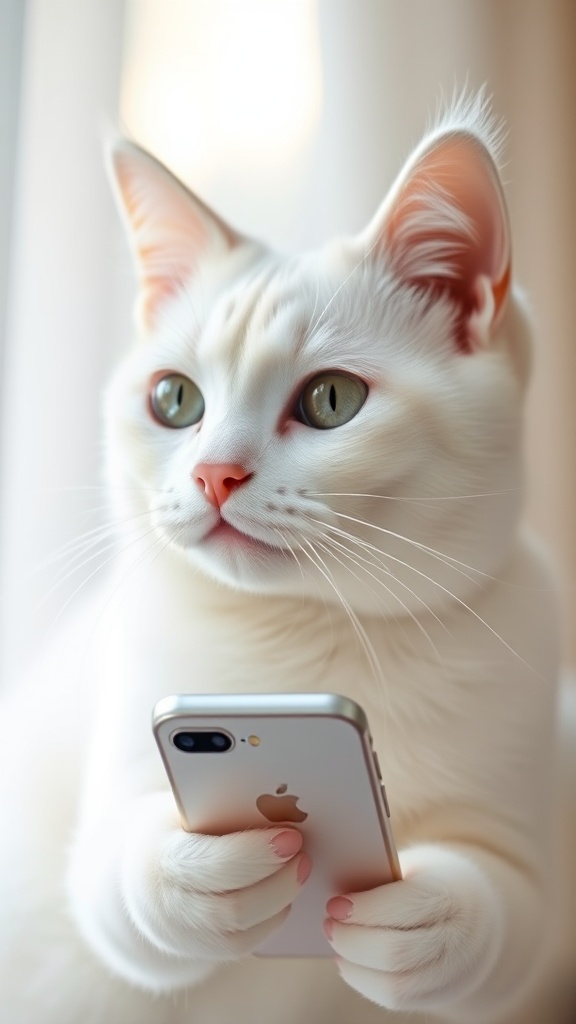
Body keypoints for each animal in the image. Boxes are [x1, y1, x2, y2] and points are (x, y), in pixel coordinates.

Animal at [1, 92, 573, 1019]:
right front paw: (208, 873)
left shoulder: (519, 854)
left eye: (331, 399)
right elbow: (117, 883)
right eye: (174, 399)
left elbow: (499, 917)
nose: (214, 473)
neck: (314, 632)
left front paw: (418, 920)